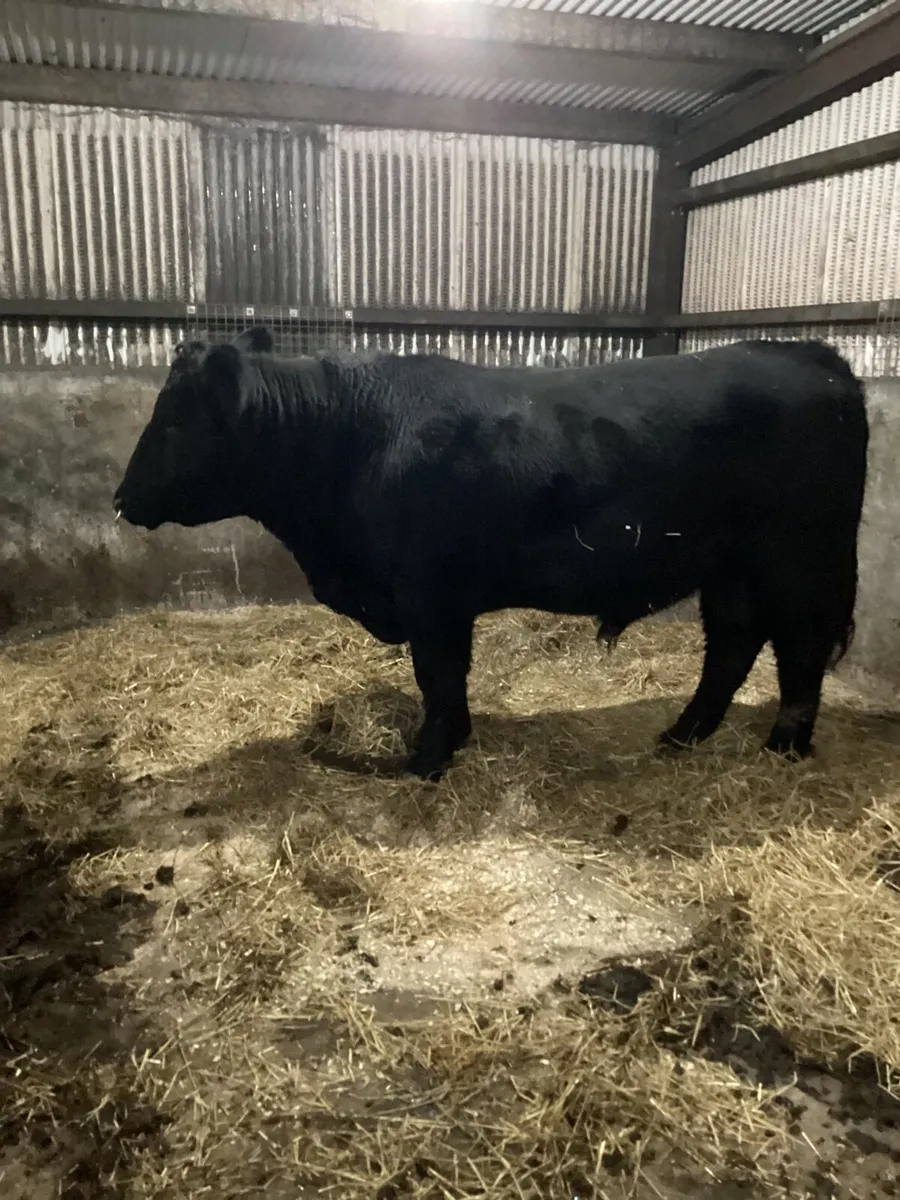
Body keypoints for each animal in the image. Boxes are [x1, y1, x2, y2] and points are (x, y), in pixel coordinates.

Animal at [114, 327, 869, 782]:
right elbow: (450, 679)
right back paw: (684, 734)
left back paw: (783, 749)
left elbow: (439, 677)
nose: (121, 498)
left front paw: (428, 760)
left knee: (799, 651)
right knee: (734, 643)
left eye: (172, 421)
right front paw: (456, 741)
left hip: (799, 560)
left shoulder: (429, 594)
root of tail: (811, 353)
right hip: (731, 568)